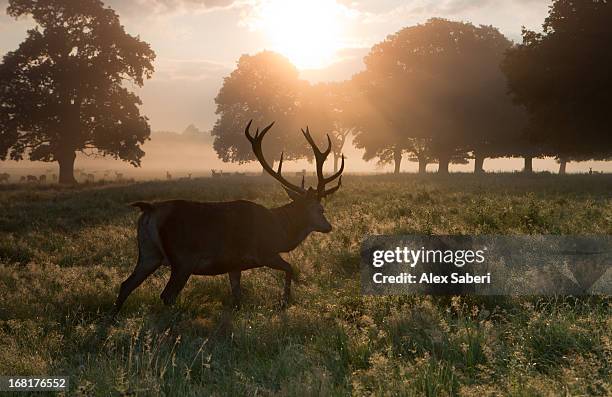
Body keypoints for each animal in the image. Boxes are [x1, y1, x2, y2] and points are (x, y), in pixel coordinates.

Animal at [113, 120, 344, 312]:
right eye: (320, 209)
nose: (329, 227)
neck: (280, 231)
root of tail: (149, 209)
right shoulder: (265, 252)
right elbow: (290, 268)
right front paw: (284, 302)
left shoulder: (234, 264)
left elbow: (237, 296)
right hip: (182, 258)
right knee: (167, 295)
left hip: (149, 253)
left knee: (126, 285)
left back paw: (113, 320)